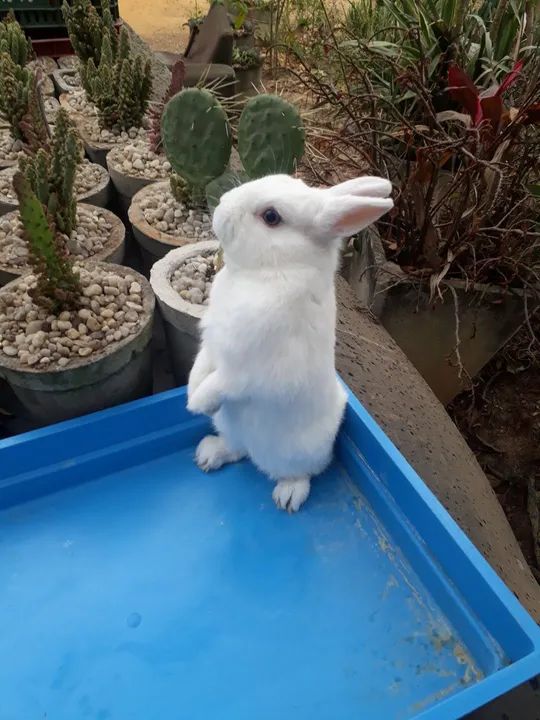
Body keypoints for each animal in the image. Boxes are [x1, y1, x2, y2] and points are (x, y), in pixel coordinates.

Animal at [187, 174, 393, 512]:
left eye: (271, 217)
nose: (222, 209)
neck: (272, 273)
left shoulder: (250, 373)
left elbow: (221, 384)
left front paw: (196, 404)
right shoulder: (213, 345)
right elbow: (200, 366)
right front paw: (191, 393)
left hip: (298, 453)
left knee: (303, 472)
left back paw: (288, 496)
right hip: (230, 427)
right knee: (238, 449)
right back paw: (208, 454)